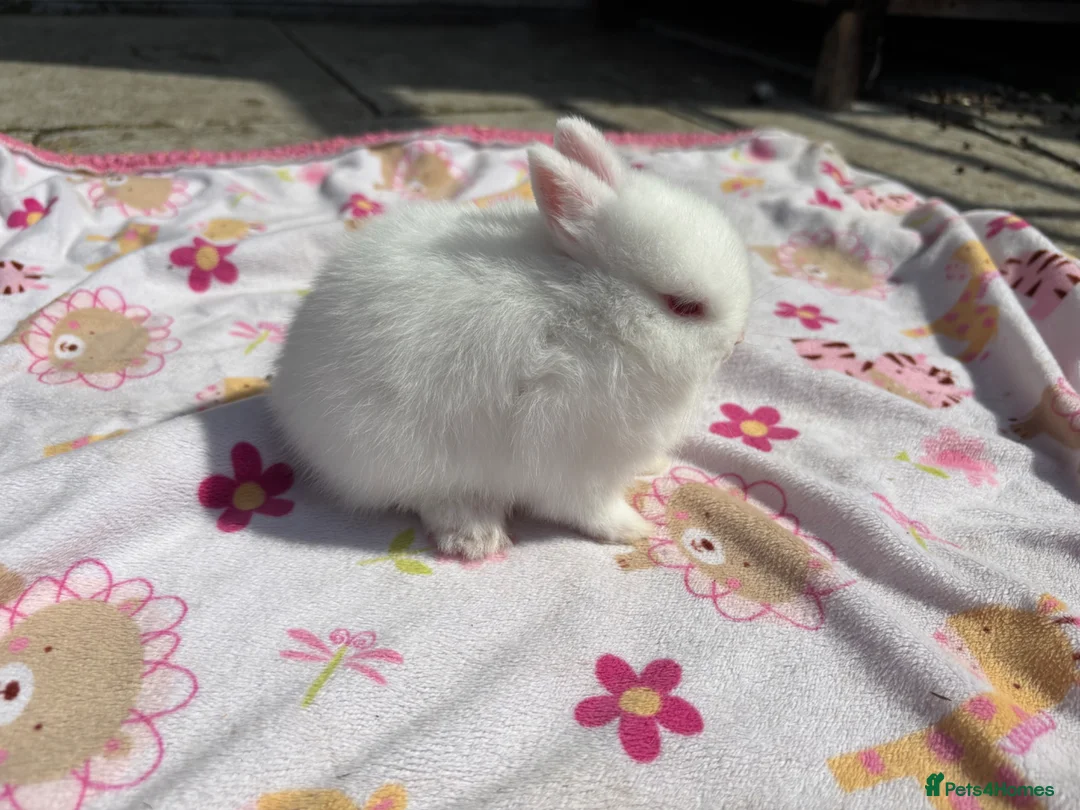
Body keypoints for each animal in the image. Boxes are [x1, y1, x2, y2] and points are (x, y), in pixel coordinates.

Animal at [269, 116, 752, 560]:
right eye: (683, 306)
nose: (736, 344)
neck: (597, 318)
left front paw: (656, 466)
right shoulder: (575, 452)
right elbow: (589, 508)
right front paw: (634, 530)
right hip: (404, 455)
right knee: (432, 498)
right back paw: (476, 538)